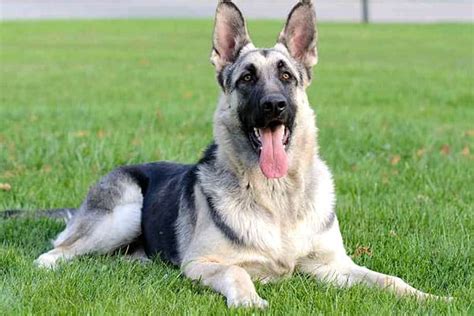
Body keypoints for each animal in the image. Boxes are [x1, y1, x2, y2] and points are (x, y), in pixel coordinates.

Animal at [11, 0, 448, 308]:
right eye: (247, 78)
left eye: (286, 76)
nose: (274, 105)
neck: (277, 198)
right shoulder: (203, 265)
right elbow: (239, 274)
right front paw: (250, 299)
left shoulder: (333, 267)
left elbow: (389, 280)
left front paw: (430, 298)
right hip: (122, 213)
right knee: (54, 253)